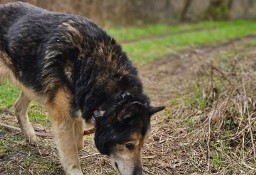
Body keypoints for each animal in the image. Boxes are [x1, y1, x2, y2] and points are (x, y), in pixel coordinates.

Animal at [0, 1, 164, 175]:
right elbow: (71, 152)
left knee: (18, 107)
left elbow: (78, 142)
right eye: (129, 145)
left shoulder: (77, 106)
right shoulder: (62, 117)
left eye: (142, 144)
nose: (139, 173)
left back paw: (31, 136)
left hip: (31, 82)